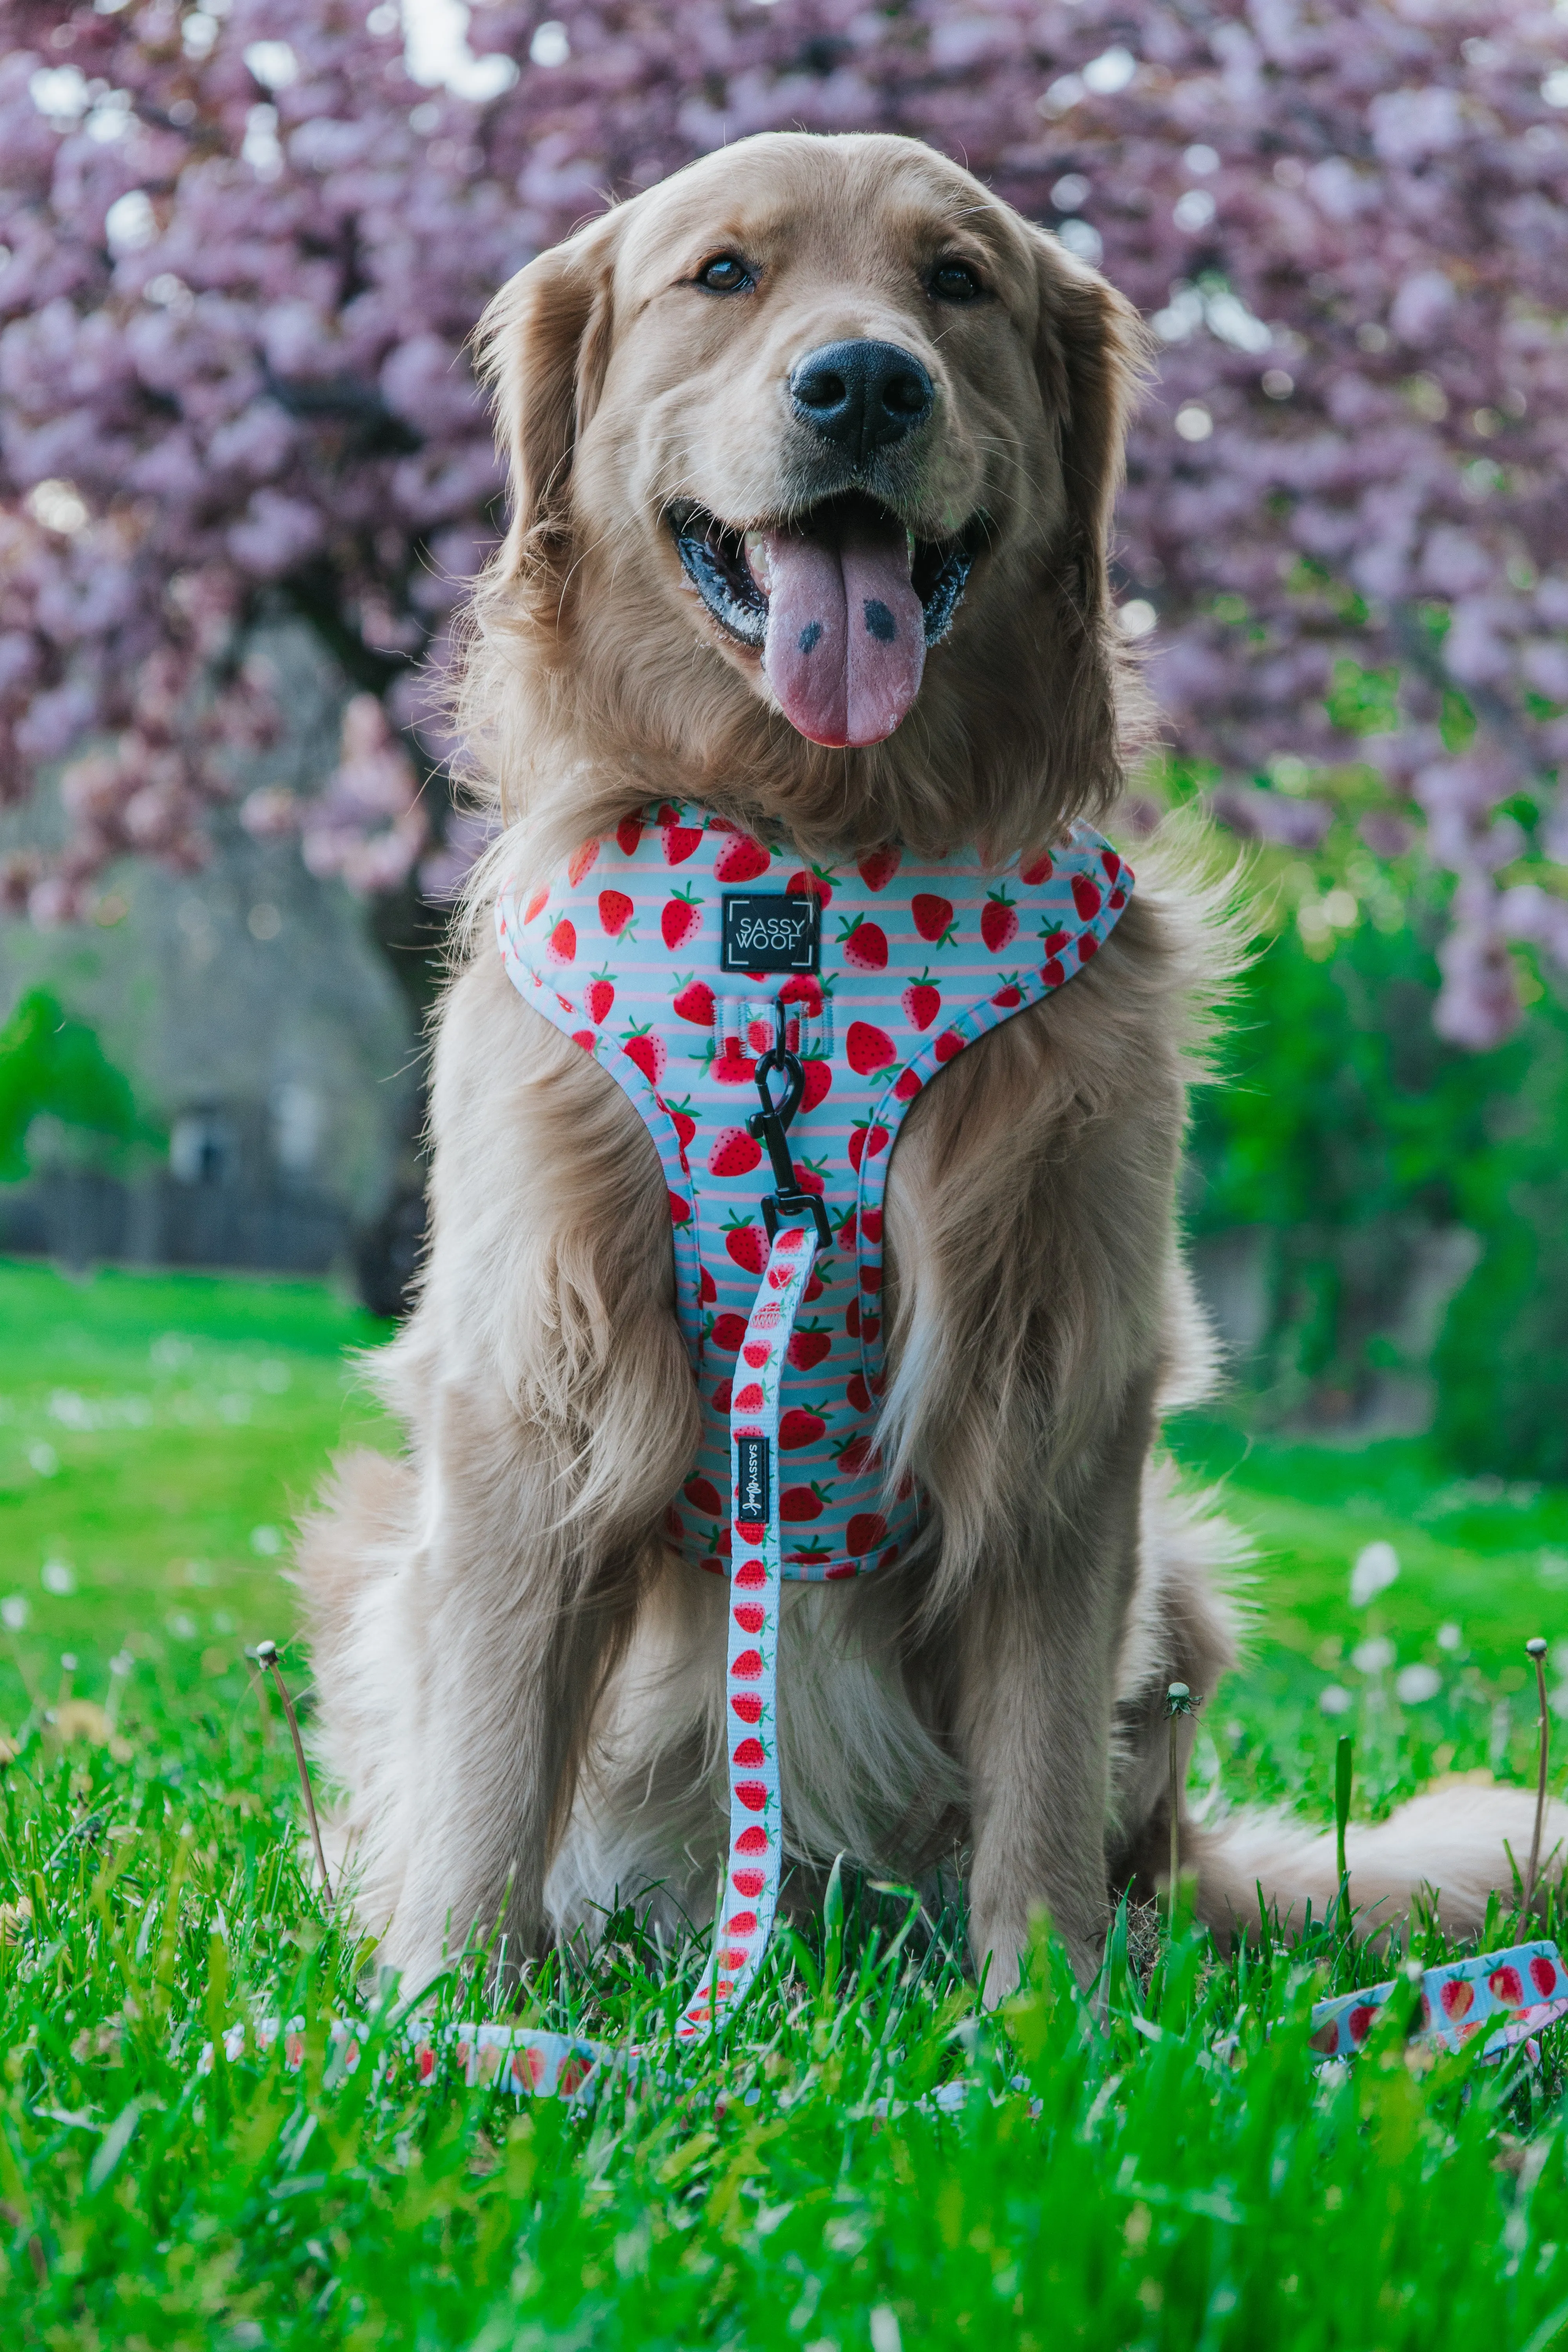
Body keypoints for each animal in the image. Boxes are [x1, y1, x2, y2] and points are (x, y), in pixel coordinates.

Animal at [301, 133, 1561, 2004]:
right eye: (723, 273)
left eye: (955, 282)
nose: (862, 383)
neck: (813, 875)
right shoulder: (538, 1373)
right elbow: (490, 1769)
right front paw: (445, 2014)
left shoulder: (1057, 1378)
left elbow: (1037, 1775)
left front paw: (1047, 2025)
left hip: (1176, 1589)